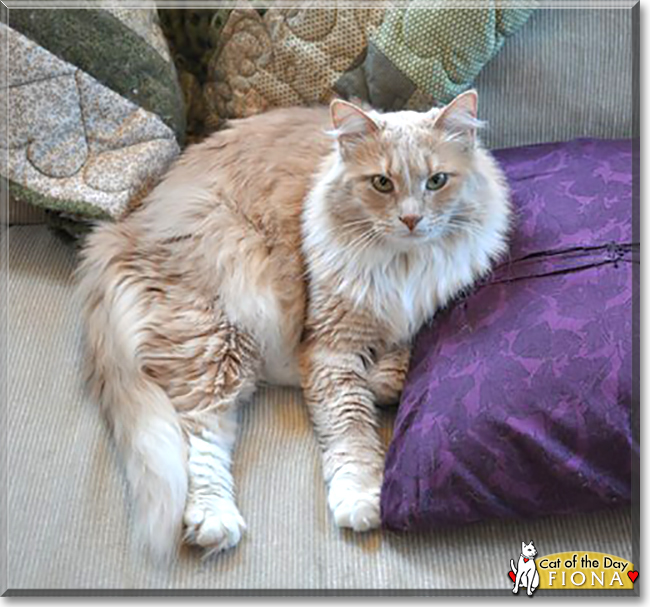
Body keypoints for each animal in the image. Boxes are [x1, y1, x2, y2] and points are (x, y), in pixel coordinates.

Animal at [77, 90, 512, 560]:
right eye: (382, 183)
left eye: (436, 181)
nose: (411, 220)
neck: (404, 266)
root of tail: (121, 231)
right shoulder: (329, 348)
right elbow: (351, 427)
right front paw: (361, 495)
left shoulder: (423, 311)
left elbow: (401, 355)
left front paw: (384, 378)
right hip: (225, 335)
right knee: (198, 434)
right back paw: (214, 520)